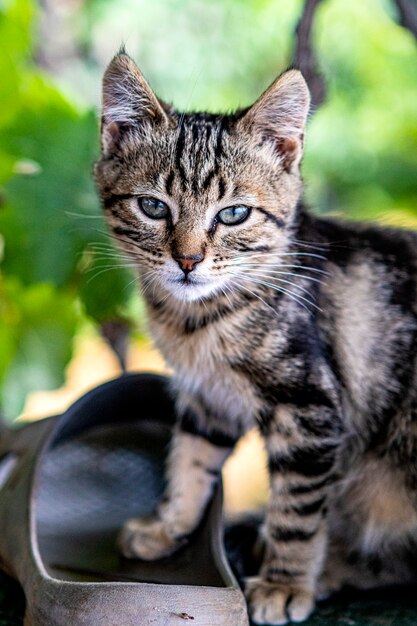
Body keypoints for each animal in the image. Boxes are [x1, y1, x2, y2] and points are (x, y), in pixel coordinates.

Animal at [95, 51, 417, 620]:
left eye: (234, 214)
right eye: (153, 207)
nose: (188, 260)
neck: (197, 321)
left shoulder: (309, 408)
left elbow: (298, 508)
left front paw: (285, 583)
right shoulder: (208, 397)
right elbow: (190, 459)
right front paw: (168, 525)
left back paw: (324, 567)